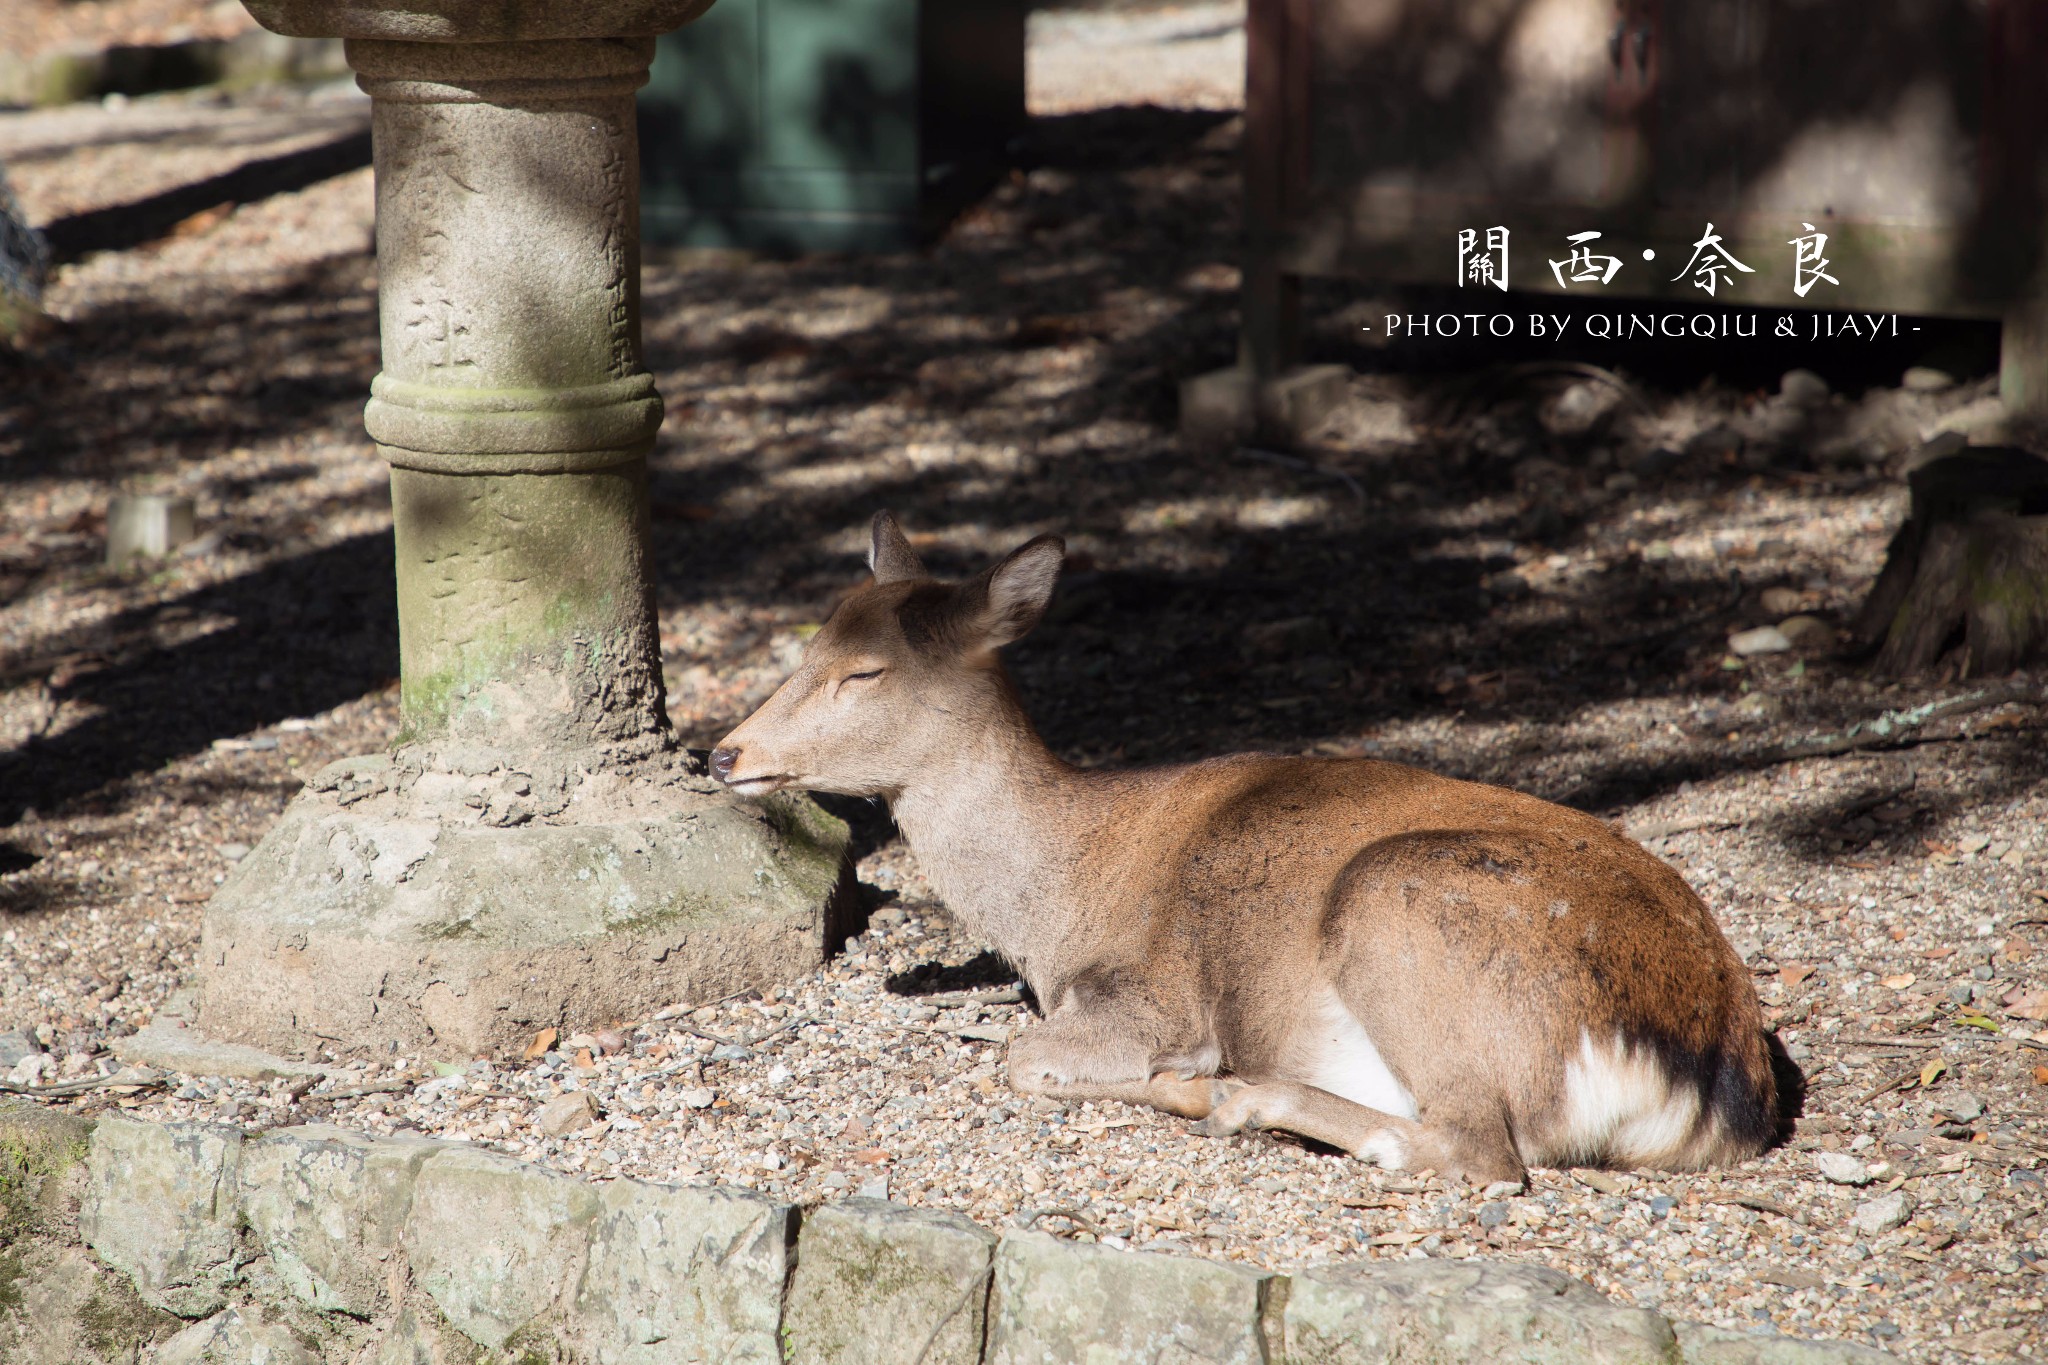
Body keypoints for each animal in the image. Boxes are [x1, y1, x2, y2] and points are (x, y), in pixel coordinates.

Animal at [716, 511, 1777, 1186]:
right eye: (805, 647)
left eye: (864, 671)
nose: (728, 752)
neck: (1055, 910)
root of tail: (1715, 1077)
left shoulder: (1145, 991)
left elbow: (1022, 1057)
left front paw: (1176, 1075)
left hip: (1397, 905)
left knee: (1478, 1150)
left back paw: (1232, 1096)